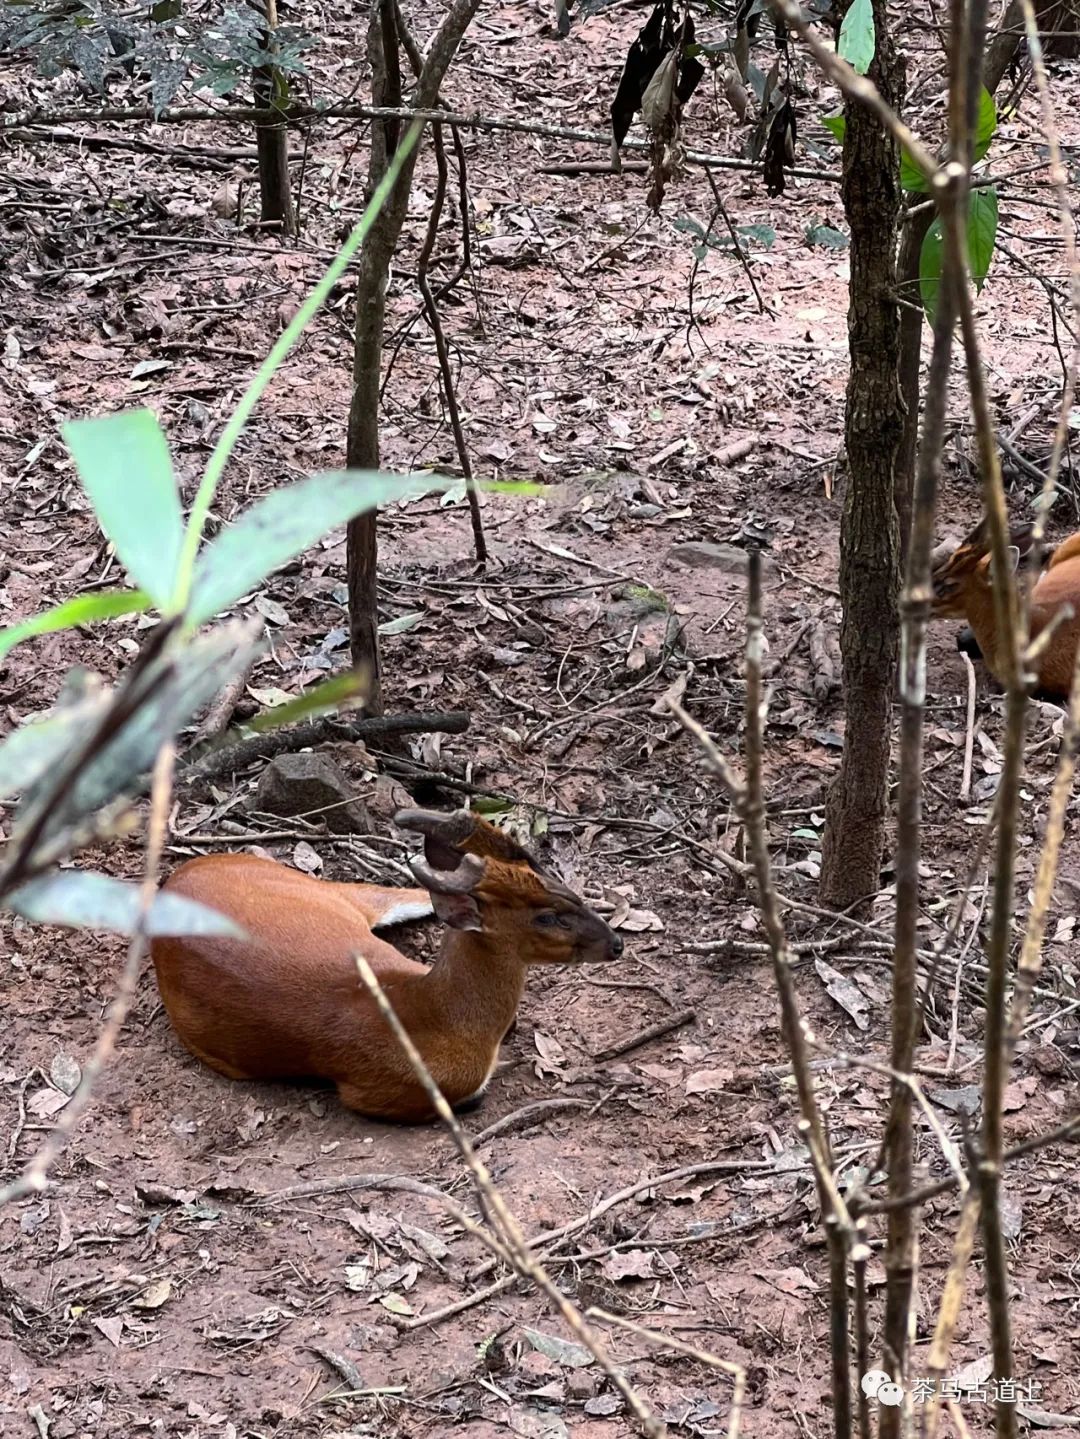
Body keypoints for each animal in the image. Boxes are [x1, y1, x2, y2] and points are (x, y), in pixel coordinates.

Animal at [152, 811, 624, 1122]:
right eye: (546, 917)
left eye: (555, 882)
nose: (615, 943)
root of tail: (173, 881)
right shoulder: (370, 1094)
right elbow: (474, 1097)